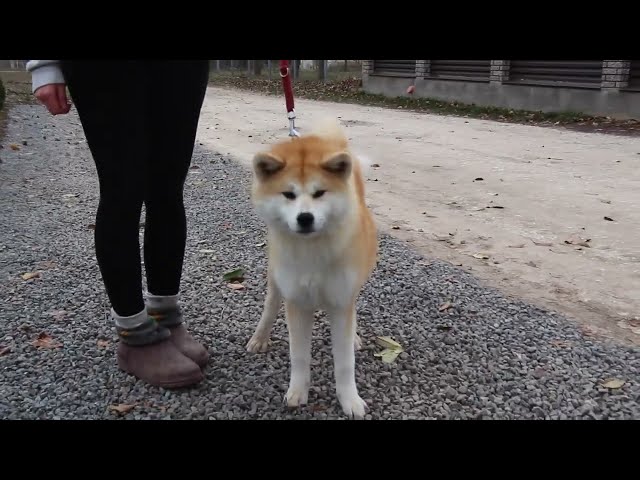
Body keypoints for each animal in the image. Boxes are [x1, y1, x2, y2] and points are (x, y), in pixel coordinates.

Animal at [244, 117, 376, 420]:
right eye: (288, 194)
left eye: (319, 193)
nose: (305, 217)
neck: (313, 250)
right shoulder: (297, 303)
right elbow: (299, 355)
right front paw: (297, 392)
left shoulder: (341, 301)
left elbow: (345, 362)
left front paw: (350, 400)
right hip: (276, 279)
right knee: (270, 306)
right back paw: (260, 337)